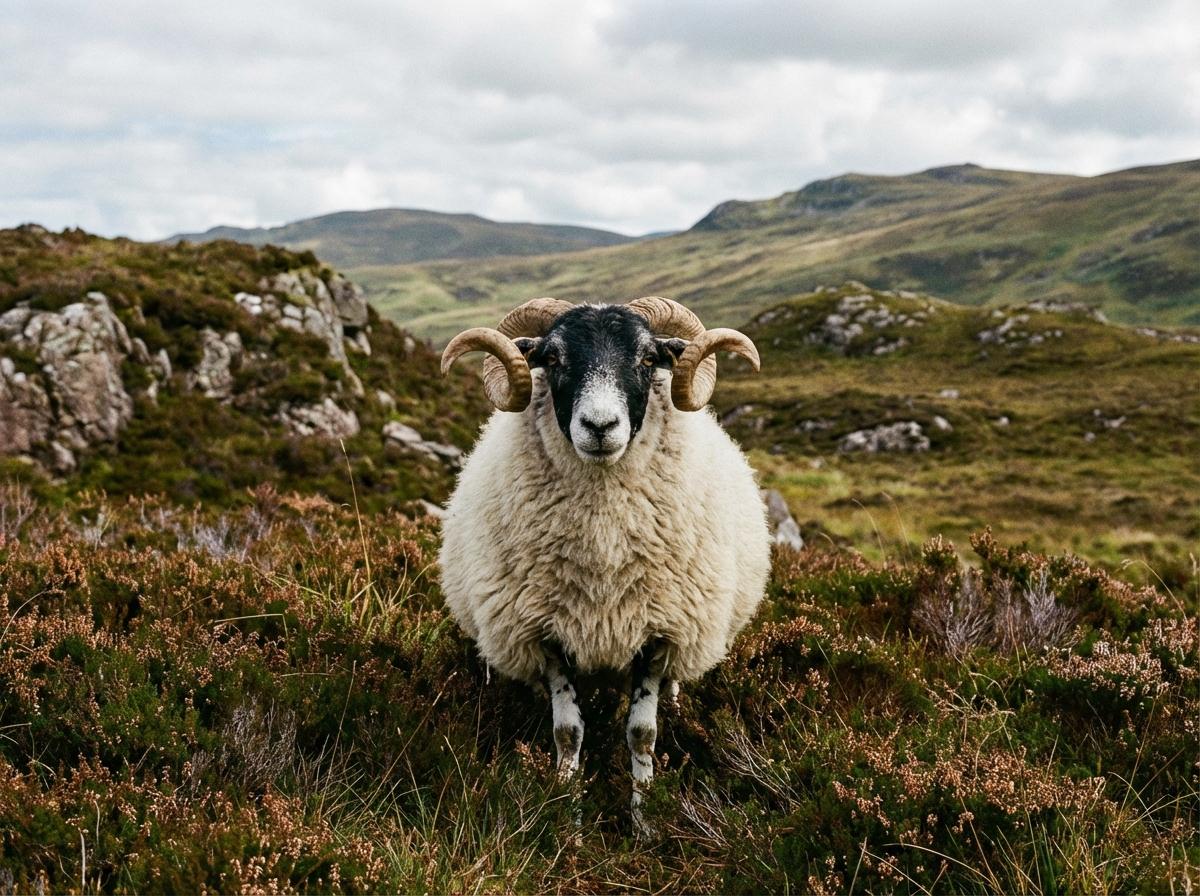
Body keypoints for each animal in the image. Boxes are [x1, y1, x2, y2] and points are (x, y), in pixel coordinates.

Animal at [438, 296, 770, 832]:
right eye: (551, 358)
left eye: (649, 358)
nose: (599, 427)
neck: (604, 548)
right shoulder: (545, 633)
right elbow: (569, 732)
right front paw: (567, 816)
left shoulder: (659, 633)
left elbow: (641, 733)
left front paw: (644, 821)